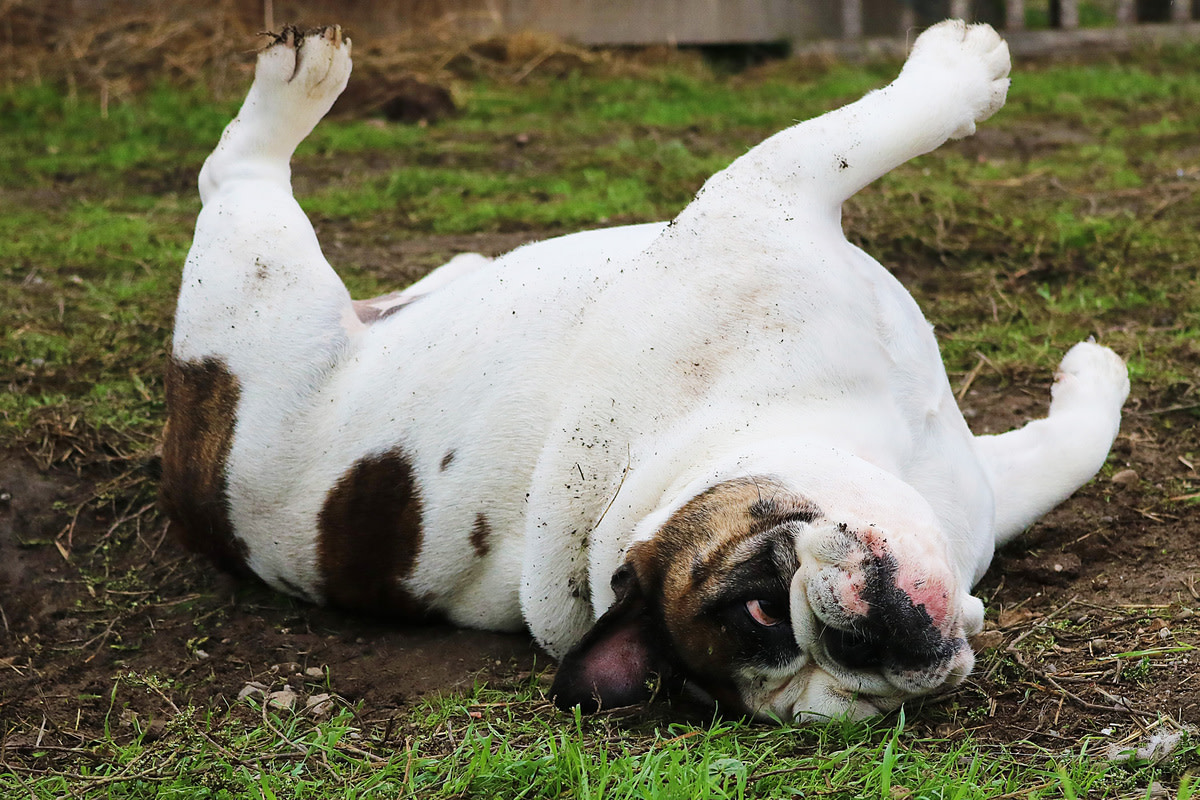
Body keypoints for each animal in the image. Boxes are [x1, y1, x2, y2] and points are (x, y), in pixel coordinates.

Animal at [164, 20, 1128, 719]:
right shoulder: (769, 187)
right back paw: (295, 88)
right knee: (233, 176)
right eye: (763, 615)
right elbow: (863, 130)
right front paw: (962, 64)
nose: (853, 646)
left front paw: (1096, 380)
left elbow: (1069, 451)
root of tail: (187, 463)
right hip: (258, 286)